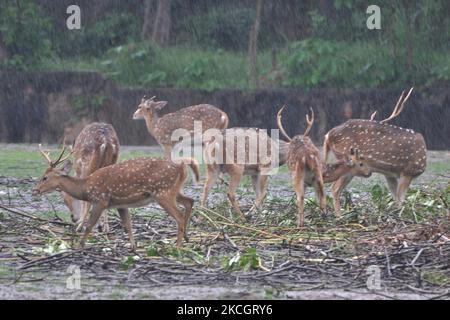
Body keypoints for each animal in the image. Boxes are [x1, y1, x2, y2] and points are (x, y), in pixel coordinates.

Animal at [33, 144, 199, 249]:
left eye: (45, 177)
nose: (35, 190)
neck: (86, 188)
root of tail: (182, 166)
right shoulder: (121, 204)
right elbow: (128, 225)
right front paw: (133, 248)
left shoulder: (100, 200)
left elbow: (89, 225)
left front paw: (79, 246)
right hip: (173, 190)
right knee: (190, 201)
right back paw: (187, 238)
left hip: (162, 191)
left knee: (179, 216)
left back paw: (177, 246)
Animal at [324, 87, 426, 215]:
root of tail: (328, 135)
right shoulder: (408, 171)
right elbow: (401, 199)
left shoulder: (390, 174)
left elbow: (396, 197)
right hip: (347, 162)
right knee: (335, 188)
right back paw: (339, 215)